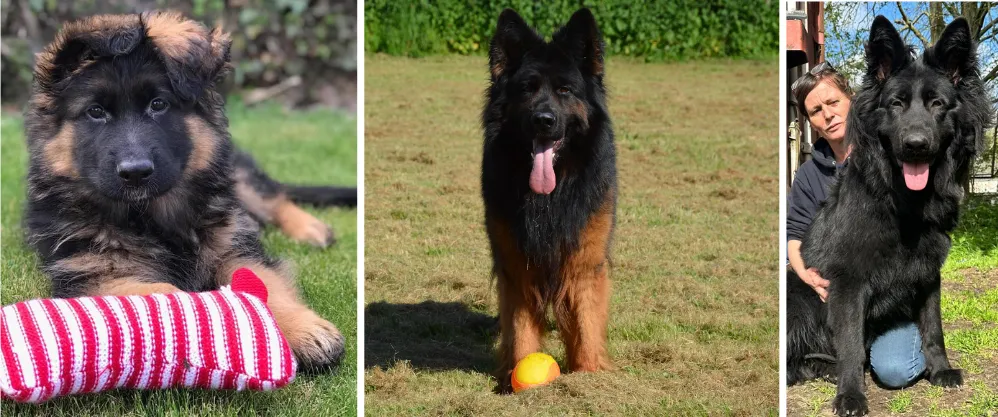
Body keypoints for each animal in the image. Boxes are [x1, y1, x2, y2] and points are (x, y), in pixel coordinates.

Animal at [21, 10, 356, 368]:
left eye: (158, 105)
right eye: (95, 112)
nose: (135, 173)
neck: (150, 217)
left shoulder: (235, 247)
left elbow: (266, 285)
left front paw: (303, 328)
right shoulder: (96, 275)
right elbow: (162, 293)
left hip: (237, 176)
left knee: (273, 198)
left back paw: (311, 228)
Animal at [482, 7, 616, 390]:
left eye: (565, 90)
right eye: (527, 89)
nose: (544, 120)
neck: (550, 197)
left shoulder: (585, 261)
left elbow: (586, 322)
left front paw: (588, 376)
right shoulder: (516, 264)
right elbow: (520, 329)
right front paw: (516, 380)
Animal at [788, 15, 992, 412]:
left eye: (937, 104)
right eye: (896, 104)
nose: (916, 145)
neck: (904, 204)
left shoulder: (928, 273)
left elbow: (934, 327)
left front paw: (940, 370)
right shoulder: (848, 283)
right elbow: (851, 344)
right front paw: (851, 394)